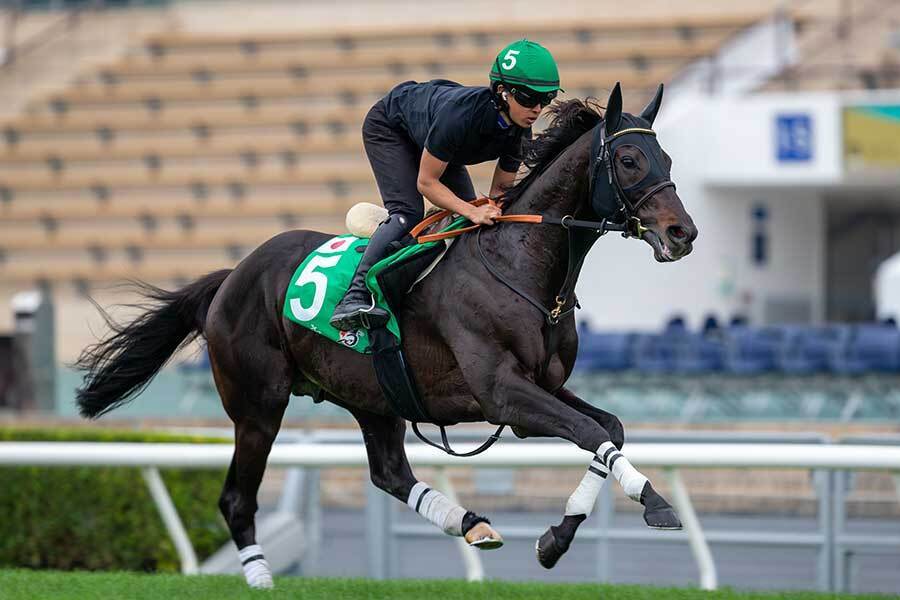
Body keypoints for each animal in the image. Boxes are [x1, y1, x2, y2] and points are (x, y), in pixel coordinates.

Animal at [75, 82, 696, 588]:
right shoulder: (504, 395)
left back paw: (470, 524)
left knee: (390, 472)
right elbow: (589, 433)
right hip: (258, 405)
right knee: (236, 499)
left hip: (373, 393)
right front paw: (656, 504)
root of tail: (232, 276)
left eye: (667, 155)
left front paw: (556, 539)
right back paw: (261, 578)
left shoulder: (542, 386)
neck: (518, 262)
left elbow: (608, 429)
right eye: (629, 158)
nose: (682, 233)